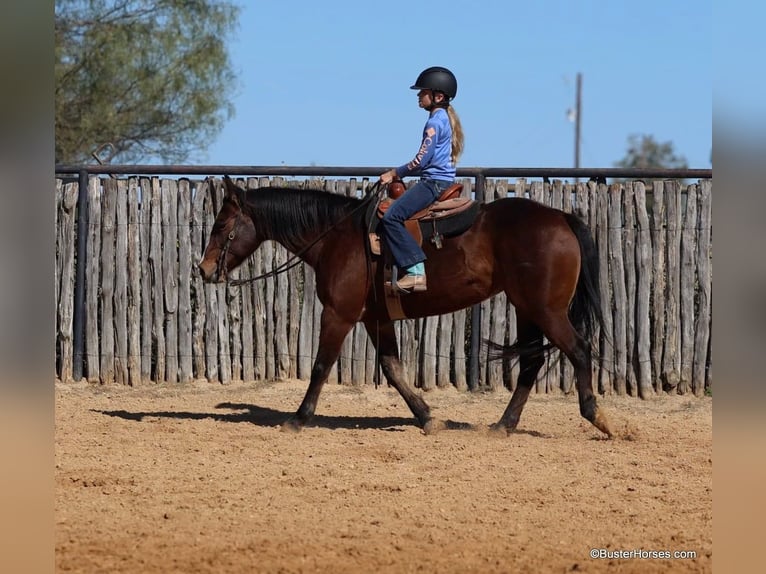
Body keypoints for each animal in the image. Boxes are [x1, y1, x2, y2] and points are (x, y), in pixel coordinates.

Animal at [198, 176, 614, 438]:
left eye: (220, 225)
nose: (203, 269)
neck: (337, 237)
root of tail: (562, 217)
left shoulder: (338, 315)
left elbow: (320, 366)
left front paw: (298, 419)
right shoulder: (375, 319)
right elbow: (392, 369)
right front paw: (428, 417)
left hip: (546, 310)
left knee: (579, 350)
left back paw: (598, 418)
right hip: (527, 309)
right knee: (531, 361)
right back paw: (503, 425)